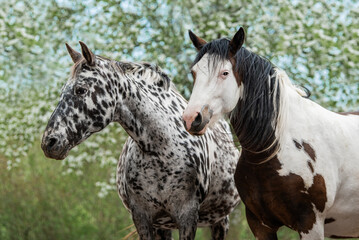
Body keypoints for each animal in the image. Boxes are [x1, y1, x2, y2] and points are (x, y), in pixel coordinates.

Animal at [40, 42, 240, 239]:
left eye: (80, 90)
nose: (49, 142)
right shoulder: (142, 218)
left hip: (220, 221)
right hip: (164, 226)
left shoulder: (187, 216)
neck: (161, 147)